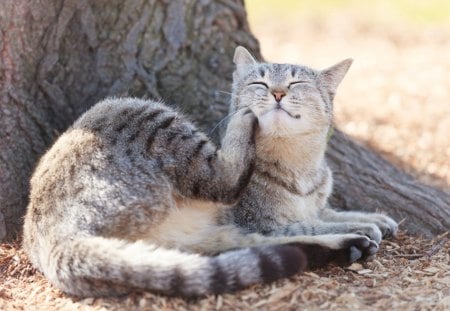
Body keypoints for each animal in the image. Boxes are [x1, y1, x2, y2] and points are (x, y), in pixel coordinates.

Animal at [22, 46, 398, 300]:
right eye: (260, 83)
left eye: (297, 83)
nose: (277, 94)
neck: (302, 169)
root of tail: (48, 235)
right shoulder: (260, 220)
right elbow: (313, 222)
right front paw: (364, 224)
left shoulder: (302, 210)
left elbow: (330, 213)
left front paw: (373, 218)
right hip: (137, 110)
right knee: (227, 181)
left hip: (200, 240)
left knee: (249, 252)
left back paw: (346, 248)